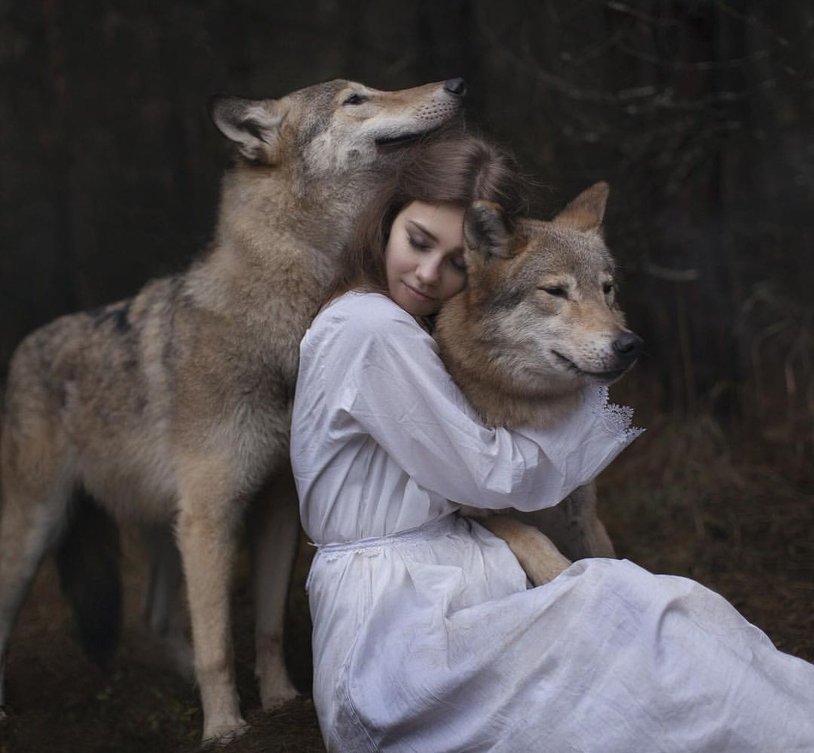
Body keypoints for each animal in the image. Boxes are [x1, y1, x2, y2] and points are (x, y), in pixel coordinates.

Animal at [0, 77, 465, 742]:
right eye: (356, 98)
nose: (455, 84)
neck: (281, 316)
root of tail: (24, 348)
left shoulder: (274, 507)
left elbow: (263, 627)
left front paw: (278, 700)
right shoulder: (213, 513)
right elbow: (218, 643)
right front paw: (223, 728)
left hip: (165, 529)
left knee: (155, 618)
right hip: (39, 531)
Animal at [435, 182, 643, 585]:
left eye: (607, 289)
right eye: (556, 291)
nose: (629, 345)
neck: (534, 411)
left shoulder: (582, 512)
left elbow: (605, 556)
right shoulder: (469, 513)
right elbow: (526, 532)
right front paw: (559, 572)